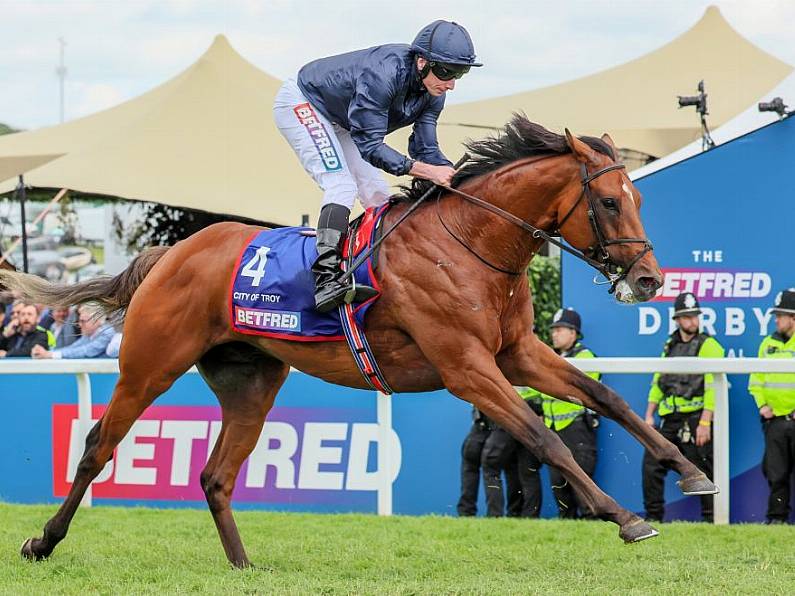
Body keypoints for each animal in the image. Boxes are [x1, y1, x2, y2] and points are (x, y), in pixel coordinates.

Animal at [3, 116, 720, 568]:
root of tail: (171, 254)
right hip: (149, 363)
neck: (472, 245)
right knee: (98, 447)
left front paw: (690, 473)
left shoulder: (516, 353)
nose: (649, 278)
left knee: (215, 476)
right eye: (608, 201)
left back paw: (243, 566)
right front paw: (623, 516)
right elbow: (543, 437)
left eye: (635, 198)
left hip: (249, 380)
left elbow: (606, 398)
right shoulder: (466, 366)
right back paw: (43, 542)